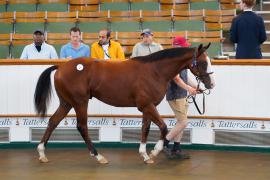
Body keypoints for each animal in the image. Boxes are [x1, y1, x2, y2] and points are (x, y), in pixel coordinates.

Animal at [34, 43, 215, 165]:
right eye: (203, 63)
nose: (211, 84)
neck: (154, 71)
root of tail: (61, 67)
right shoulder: (147, 106)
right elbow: (163, 127)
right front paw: (155, 151)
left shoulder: (148, 107)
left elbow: (145, 129)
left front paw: (145, 155)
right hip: (80, 102)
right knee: (82, 126)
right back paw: (98, 156)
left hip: (66, 103)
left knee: (53, 121)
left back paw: (42, 153)